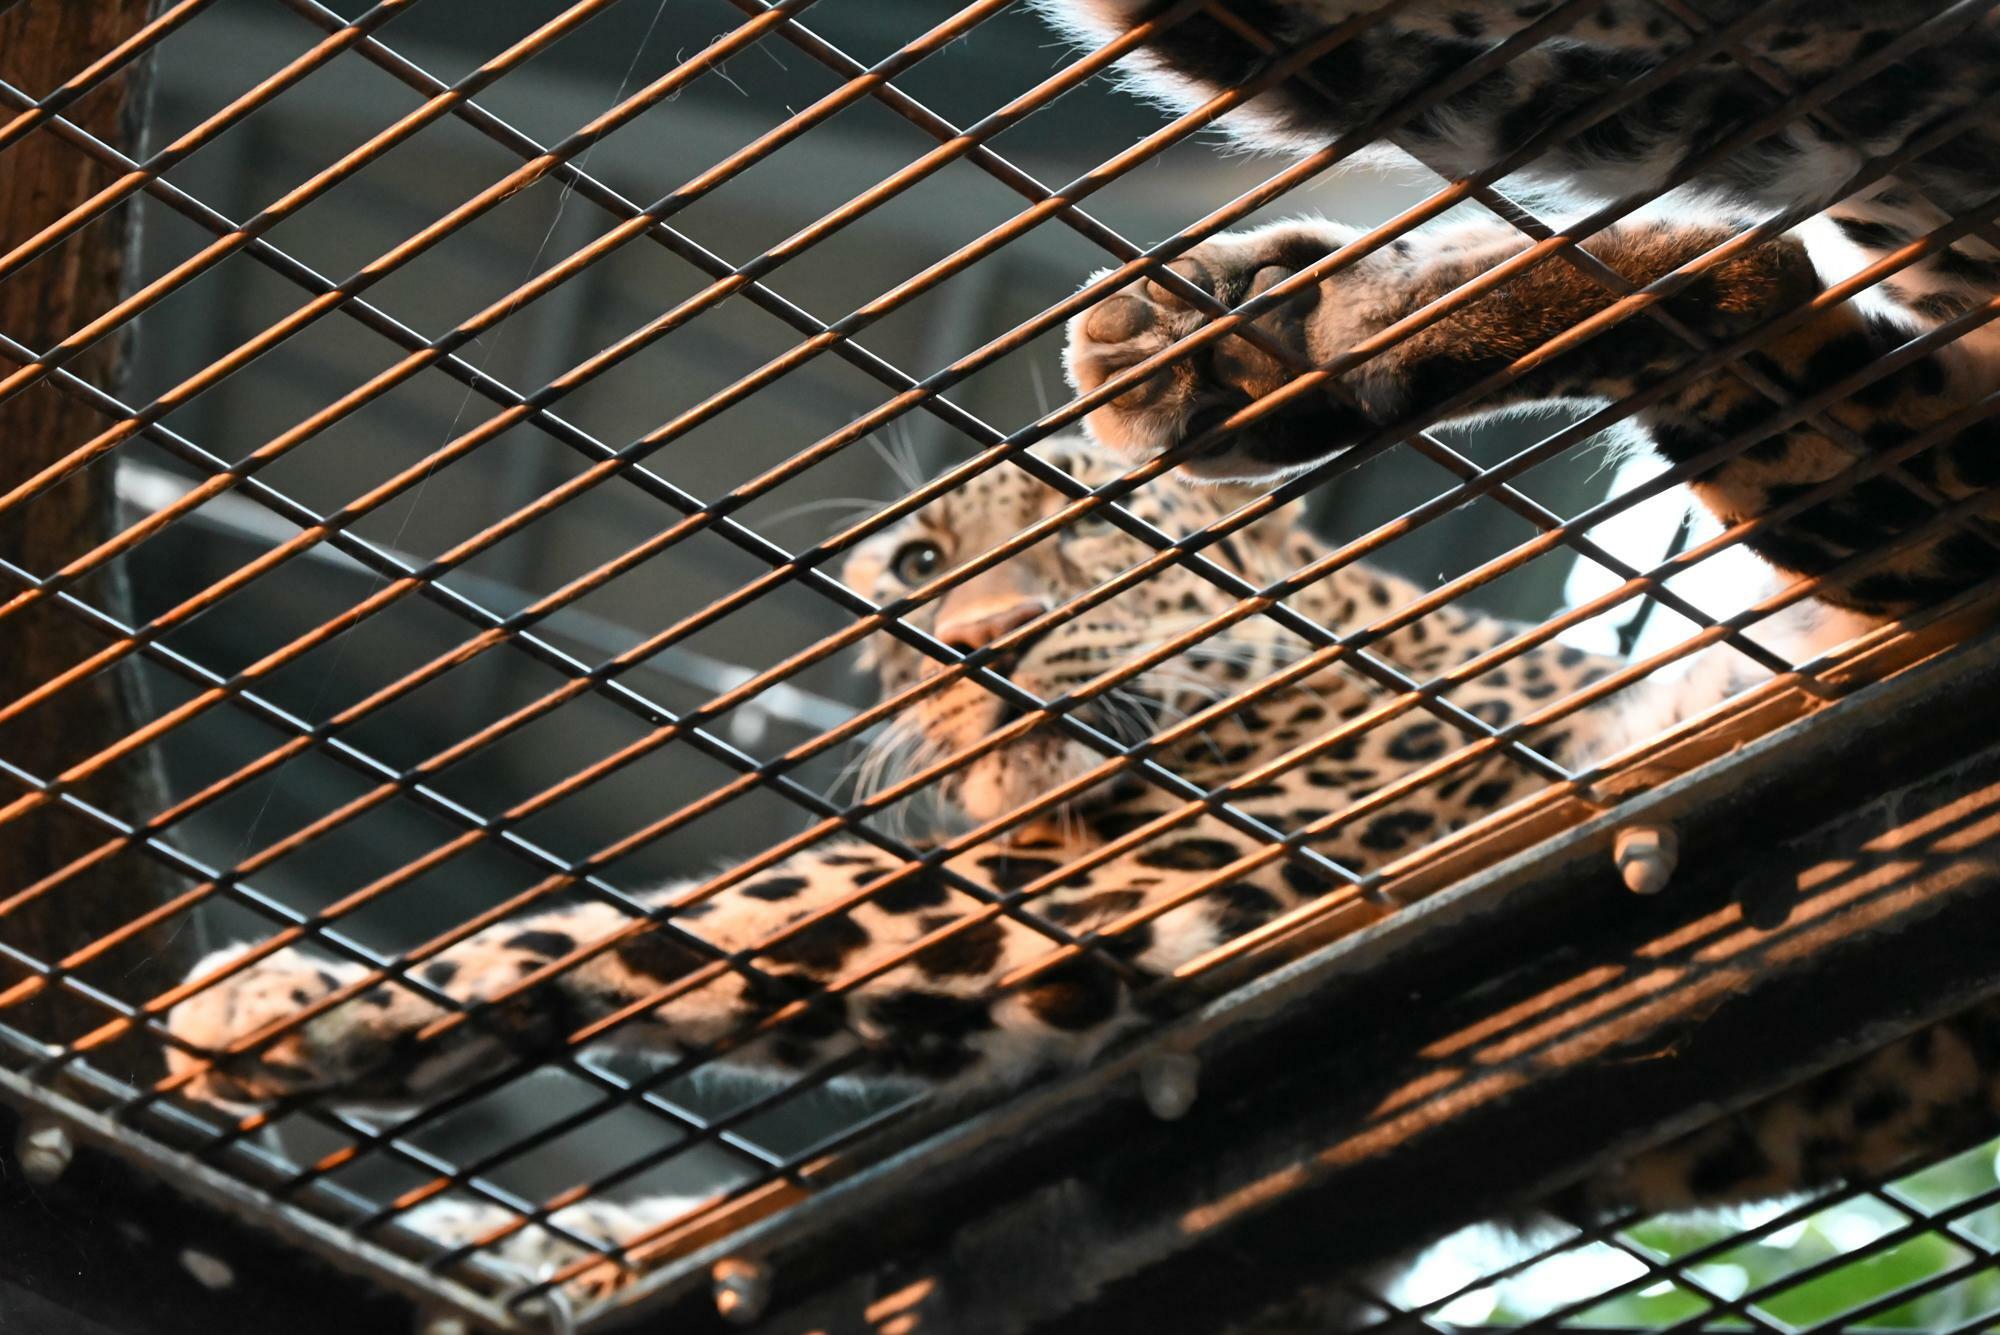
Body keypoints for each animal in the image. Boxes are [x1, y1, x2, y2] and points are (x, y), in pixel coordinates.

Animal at [160, 0, 2000, 1311]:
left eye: (1075, 532)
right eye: (912, 575)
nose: (976, 647)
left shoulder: (1235, 867)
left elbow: (715, 918)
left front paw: (299, 991)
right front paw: (550, 1230)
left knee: (1739, 267)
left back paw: (1278, 339)